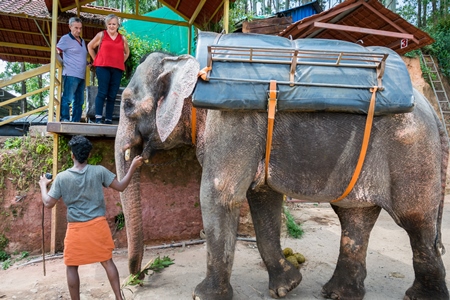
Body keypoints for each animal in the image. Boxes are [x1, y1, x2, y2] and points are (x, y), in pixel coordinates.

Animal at [114, 42, 448, 298]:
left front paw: (202, 296)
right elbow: (263, 199)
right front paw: (288, 286)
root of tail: (432, 108)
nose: (139, 277)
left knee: (415, 222)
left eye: (127, 104)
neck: (192, 68)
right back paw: (338, 293)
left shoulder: (231, 124)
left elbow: (219, 196)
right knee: (355, 216)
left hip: (412, 153)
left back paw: (418, 296)